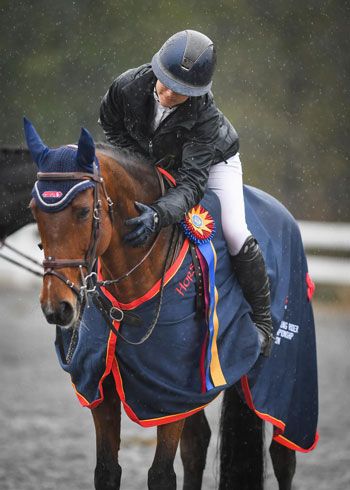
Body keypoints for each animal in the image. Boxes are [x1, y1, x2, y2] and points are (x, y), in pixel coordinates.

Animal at [6, 119, 298, 490]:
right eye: (33, 210)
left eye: (83, 211)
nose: (57, 307)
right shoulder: (111, 385)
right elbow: (107, 470)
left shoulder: (171, 390)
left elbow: (160, 475)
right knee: (197, 444)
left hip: (284, 379)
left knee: (283, 456)